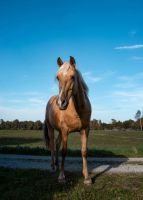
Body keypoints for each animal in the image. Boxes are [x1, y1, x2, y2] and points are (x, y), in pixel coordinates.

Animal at [44, 55, 92, 184]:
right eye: (57, 77)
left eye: (72, 76)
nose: (61, 103)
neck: (78, 109)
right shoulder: (65, 131)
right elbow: (64, 152)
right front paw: (61, 176)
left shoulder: (85, 130)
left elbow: (84, 151)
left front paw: (87, 177)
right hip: (51, 129)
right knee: (52, 145)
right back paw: (53, 166)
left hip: (60, 132)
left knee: (56, 144)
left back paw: (56, 163)